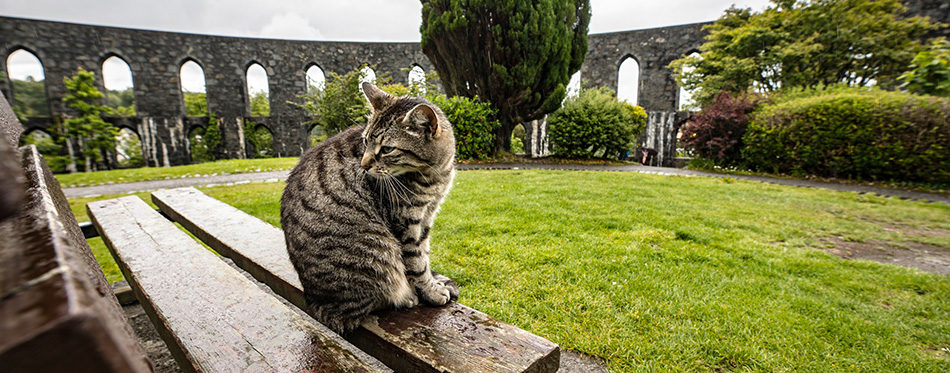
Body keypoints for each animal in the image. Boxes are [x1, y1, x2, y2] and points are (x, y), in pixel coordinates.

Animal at [280, 83, 460, 332]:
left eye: (387, 149)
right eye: (365, 142)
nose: (364, 165)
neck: (435, 174)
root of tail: (315, 301)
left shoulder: (427, 215)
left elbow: (424, 254)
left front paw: (433, 282)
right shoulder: (407, 221)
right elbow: (417, 262)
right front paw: (431, 292)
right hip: (376, 250)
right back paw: (407, 296)